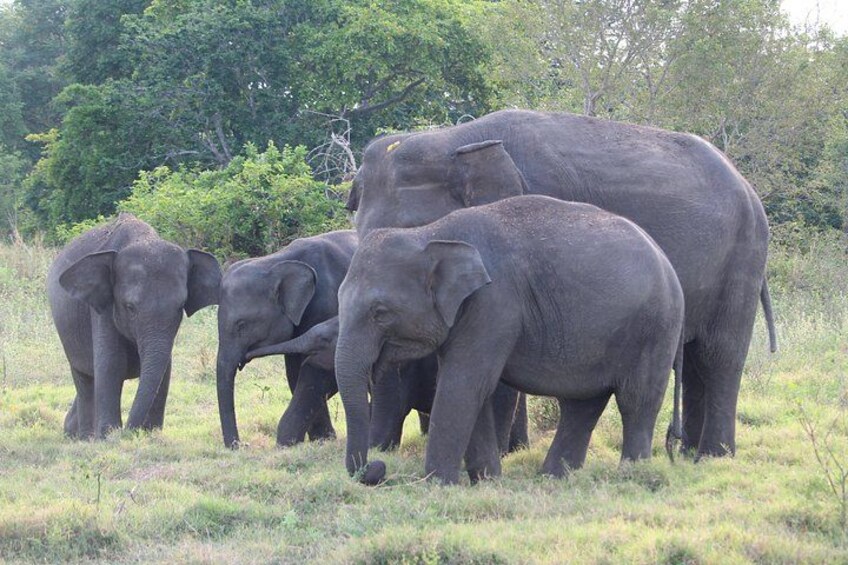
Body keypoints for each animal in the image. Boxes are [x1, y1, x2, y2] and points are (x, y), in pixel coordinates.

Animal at [48, 213, 222, 439]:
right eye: (130, 307)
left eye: (180, 306)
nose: (129, 431)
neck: (143, 238)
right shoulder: (103, 307)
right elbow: (111, 363)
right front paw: (109, 436)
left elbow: (165, 369)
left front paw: (151, 434)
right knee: (84, 379)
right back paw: (85, 437)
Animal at [215, 230, 357, 448]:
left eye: (241, 324)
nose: (242, 445)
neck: (274, 262)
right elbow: (294, 371)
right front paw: (321, 440)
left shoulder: (328, 303)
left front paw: (323, 440)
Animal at [335, 196, 685, 485]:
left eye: (380, 312)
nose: (378, 467)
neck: (431, 234)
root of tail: (666, 261)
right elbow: (471, 386)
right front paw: (486, 480)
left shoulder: (494, 303)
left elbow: (464, 383)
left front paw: (437, 483)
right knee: (583, 404)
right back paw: (553, 477)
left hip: (655, 328)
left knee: (636, 401)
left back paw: (634, 475)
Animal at [347, 109, 776, 459]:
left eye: (413, 229)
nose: (377, 457)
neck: (455, 138)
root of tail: (748, 186)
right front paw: (511, 450)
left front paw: (502, 453)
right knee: (695, 357)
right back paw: (689, 453)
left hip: (744, 255)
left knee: (720, 354)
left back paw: (715, 455)